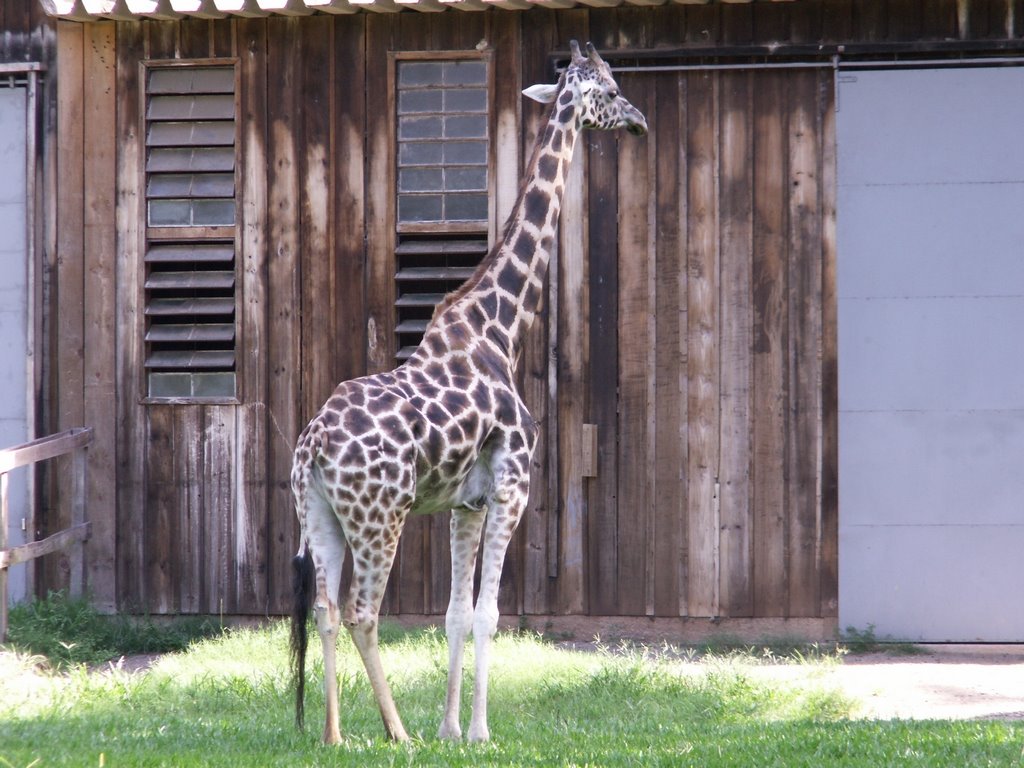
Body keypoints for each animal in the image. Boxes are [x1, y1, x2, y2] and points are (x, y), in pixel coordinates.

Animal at [286, 40, 647, 745]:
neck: (499, 327)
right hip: (381, 516)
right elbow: (488, 613)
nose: (641, 122)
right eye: (614, 91)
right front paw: (478, 731)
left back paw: (333, 735)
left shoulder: (465, 504)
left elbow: (454, 614)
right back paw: (396, 733)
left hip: (319, 514)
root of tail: (312, 448)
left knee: (326, 611)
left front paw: (452, 727)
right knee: (364, 612)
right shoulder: (512, 486)